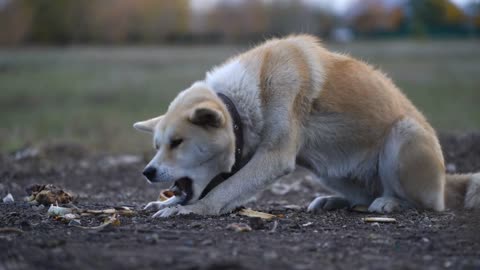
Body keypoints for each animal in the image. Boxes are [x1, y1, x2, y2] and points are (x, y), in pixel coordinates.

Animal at [134, 35, 480, 217]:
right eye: (157, 146)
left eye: (177, 142)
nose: (147, 172)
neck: (245, 100)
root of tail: (446, 180)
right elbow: (224, 187)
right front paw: (167, 201)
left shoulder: (274, 157)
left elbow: (223, 191)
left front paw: (189, 210)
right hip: (328, 168)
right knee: (362, 196)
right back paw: (333, 201)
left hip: (403, 135)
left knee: (425, 203)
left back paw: (390, 202)